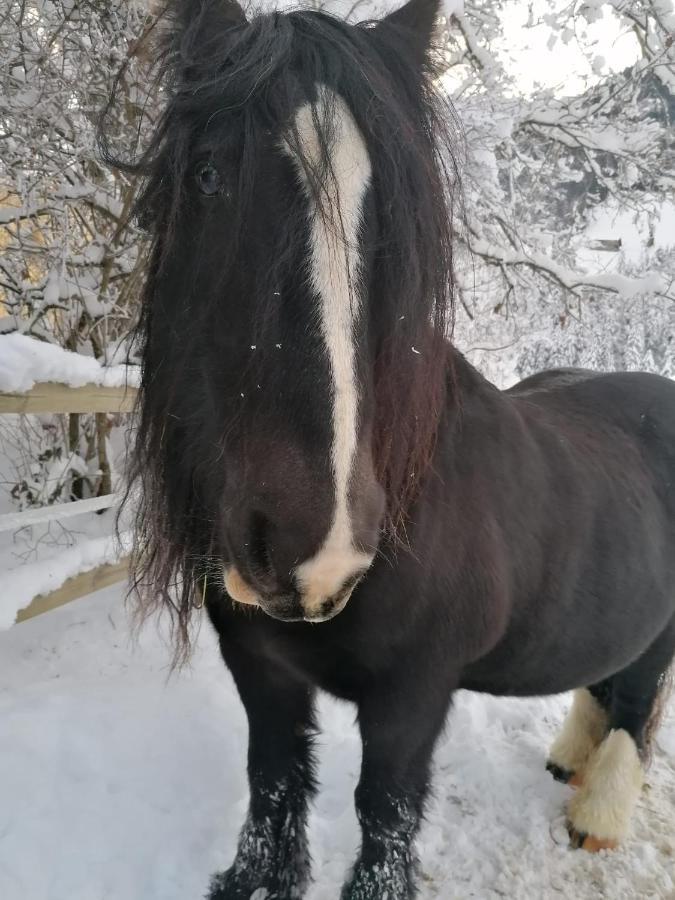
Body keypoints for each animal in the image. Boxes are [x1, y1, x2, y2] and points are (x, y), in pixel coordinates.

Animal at [112, 0, 675, 896]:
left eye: (396, 213)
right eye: (206, 175)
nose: (315, 554)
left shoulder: (414, 696)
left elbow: (384, 813)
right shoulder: (259, 669)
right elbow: (274, 781)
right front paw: (258, 876)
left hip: (658, 637)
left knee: (634, 704)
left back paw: (595, 814)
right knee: (606, 682)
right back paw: (569, 763)